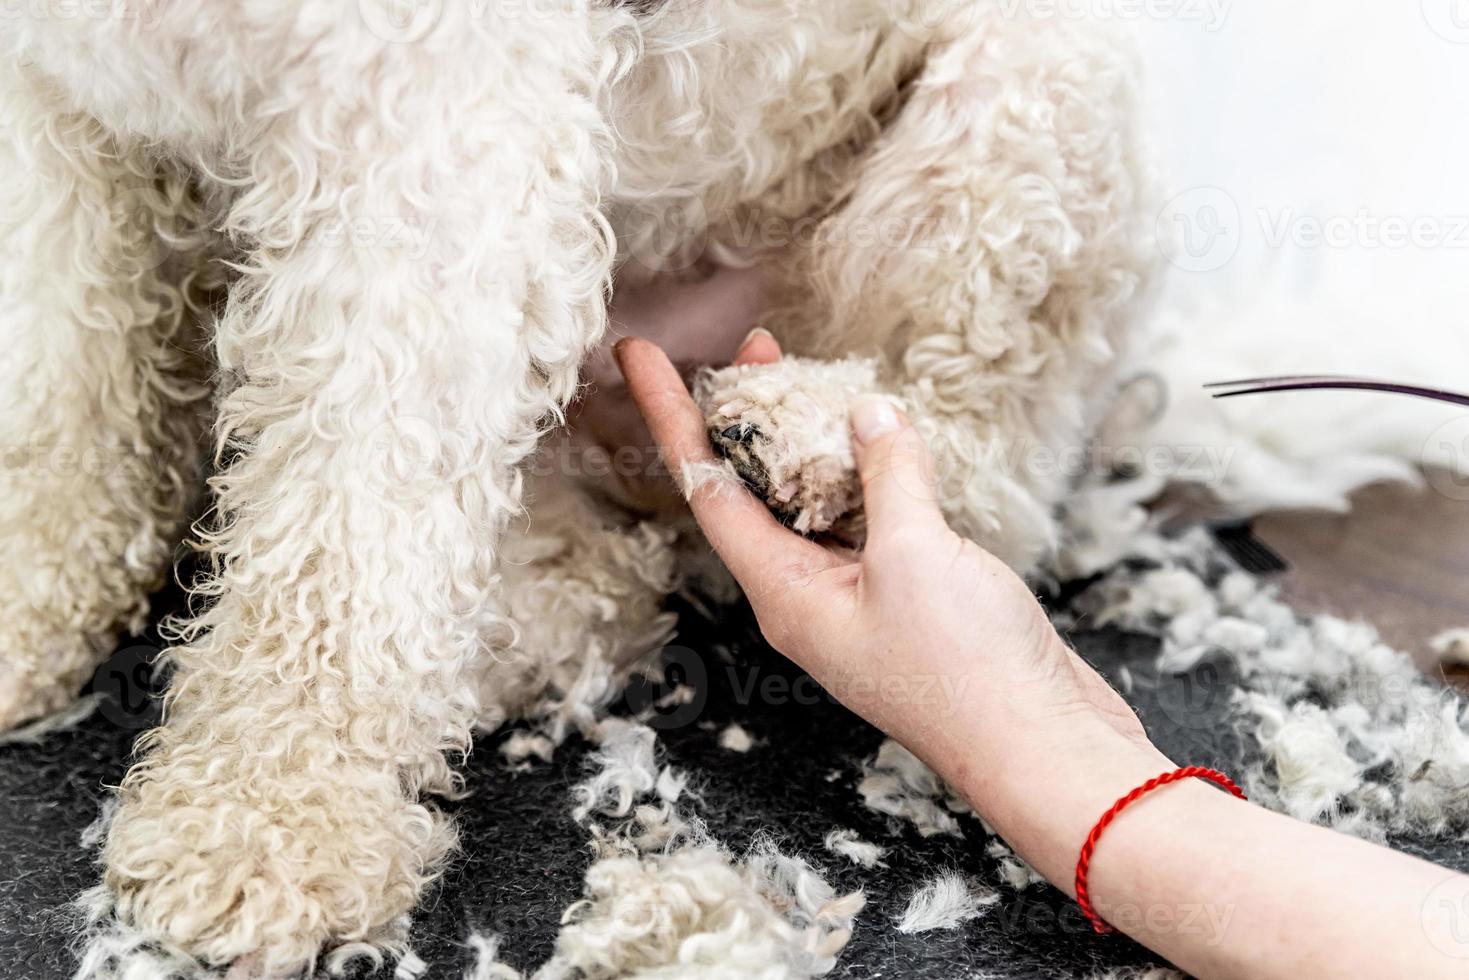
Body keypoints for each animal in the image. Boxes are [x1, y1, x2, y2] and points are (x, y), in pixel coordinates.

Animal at [0, 1, 1145, 975]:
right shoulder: (57, 91)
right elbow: (65, 375)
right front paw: (29, 604)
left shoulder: (426, 116)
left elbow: (351, 520)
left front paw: (270, 819)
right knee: (609, 578)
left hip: (1028, 113)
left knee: (980, 451)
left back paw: (807, 433)